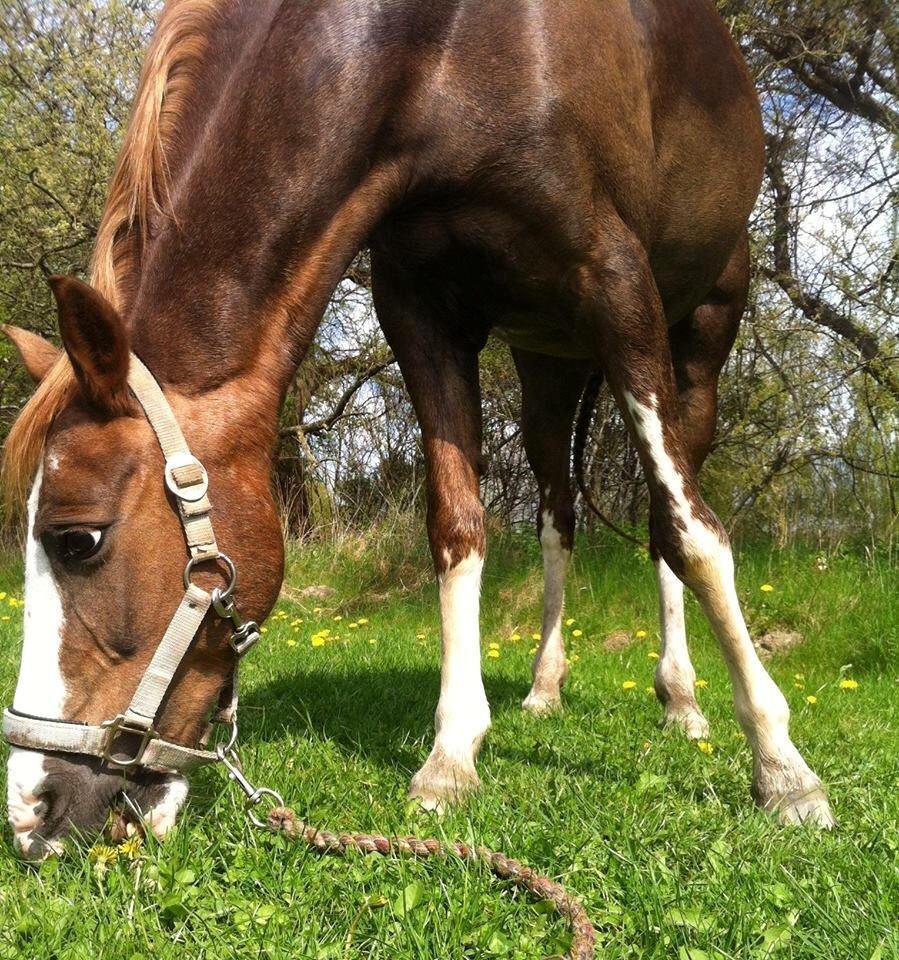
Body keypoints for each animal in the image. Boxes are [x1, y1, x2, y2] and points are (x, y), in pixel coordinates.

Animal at [0, 0, 832, 856]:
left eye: (78, 540)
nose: (30, 813)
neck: (438, 53)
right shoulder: (419, 310)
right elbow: (456, 528)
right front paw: (453, 754)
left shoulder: (615, 279)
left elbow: (692, 535)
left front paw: (783, 769)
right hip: (546, 365)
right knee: (556, 515)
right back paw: (545, 686)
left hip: (699, 332)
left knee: (672, 516)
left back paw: (682, 700)